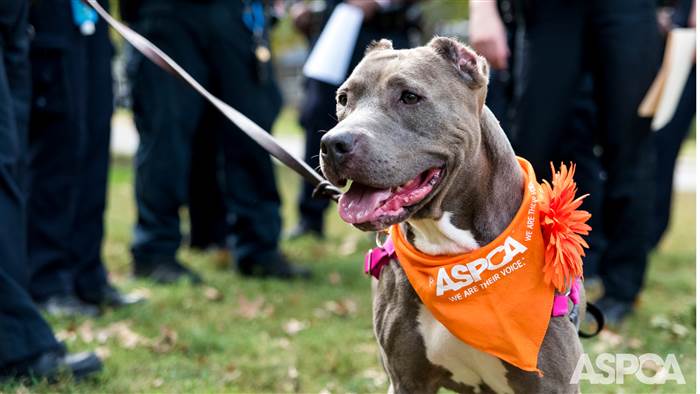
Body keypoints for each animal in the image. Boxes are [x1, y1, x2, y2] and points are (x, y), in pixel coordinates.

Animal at [320, 37, 584, 394]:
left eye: (410, 97)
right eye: (343, 98)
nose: (333, 143)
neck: (452, 254)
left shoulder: (553, 384)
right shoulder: (406, 380)